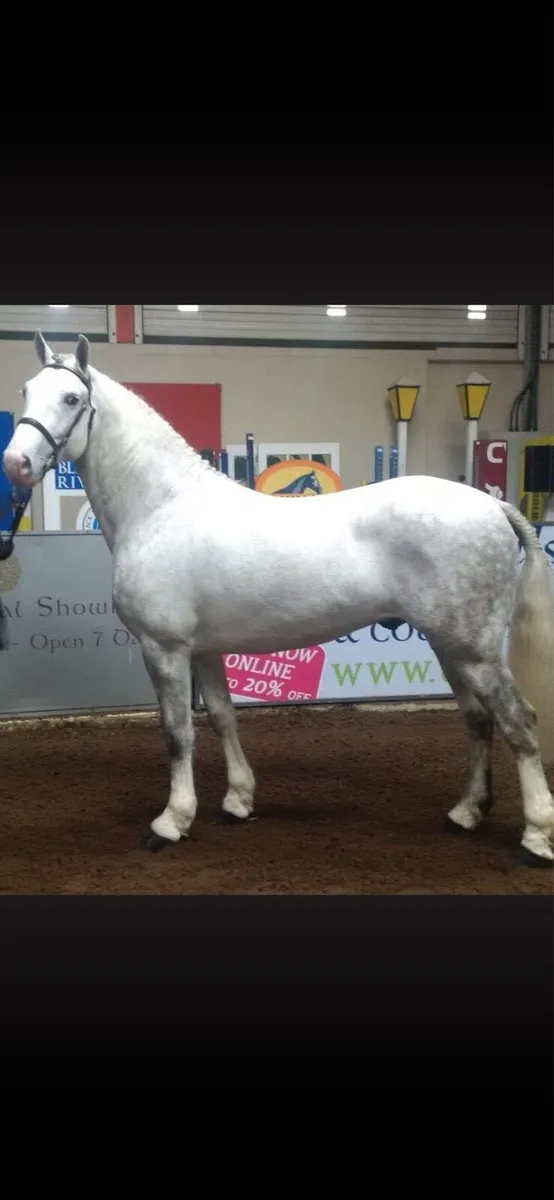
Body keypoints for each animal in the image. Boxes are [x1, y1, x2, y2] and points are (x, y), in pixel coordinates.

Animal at [3, 331, 554, 868]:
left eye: (72, 398)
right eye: (26, 391)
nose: (16, 463)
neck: (161, 509)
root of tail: (494, 506)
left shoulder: (164, 648)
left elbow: (177, 733)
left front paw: (172, 822)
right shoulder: (204, 651)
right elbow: (222, 719)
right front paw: (238, 801)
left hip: (473, 650)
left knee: (518, 721)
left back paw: (536, 837)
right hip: (451, 646)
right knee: (478, 720)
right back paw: (465, 813)